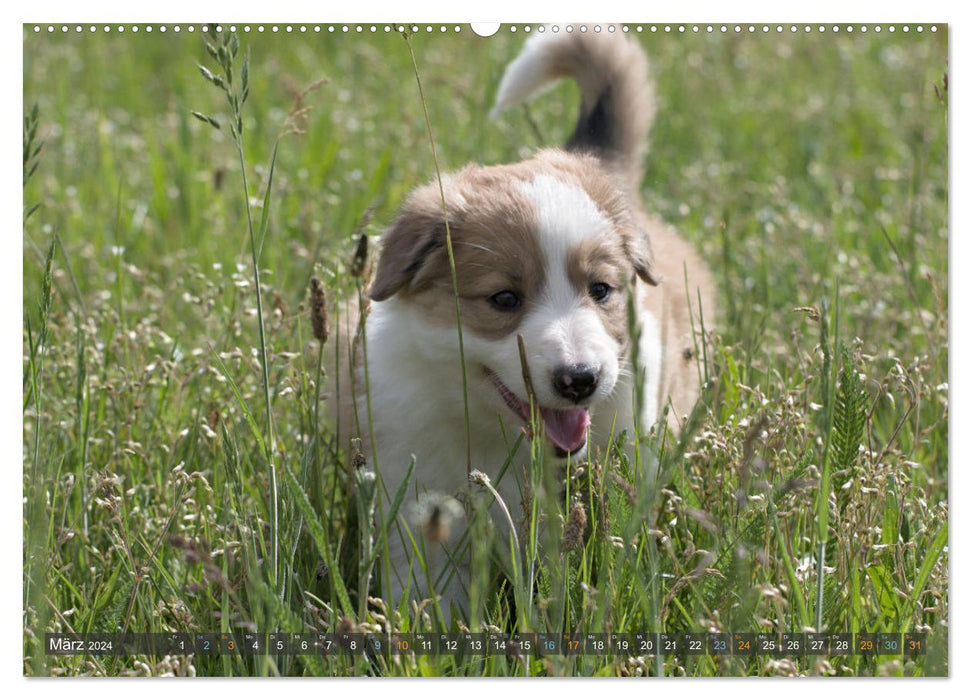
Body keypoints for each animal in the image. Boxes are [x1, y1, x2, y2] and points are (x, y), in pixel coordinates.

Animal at [334, 28, 712, 616]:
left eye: (600, 290)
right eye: (505, 298)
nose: (580, 381)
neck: (501, 437)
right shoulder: (416, 497)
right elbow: (428, 591)